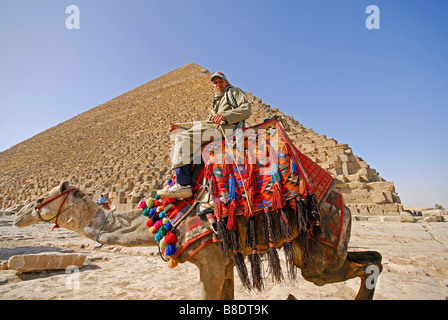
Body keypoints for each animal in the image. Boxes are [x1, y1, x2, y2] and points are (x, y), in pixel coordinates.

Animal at [14, 180, 382, 300]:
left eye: (42, 199)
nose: (18, 214)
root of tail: (344, 203)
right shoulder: (225, 265)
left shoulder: (211, 263)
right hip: (322, 254)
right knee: (373, 259)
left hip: (320, 258)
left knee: (369, 264)